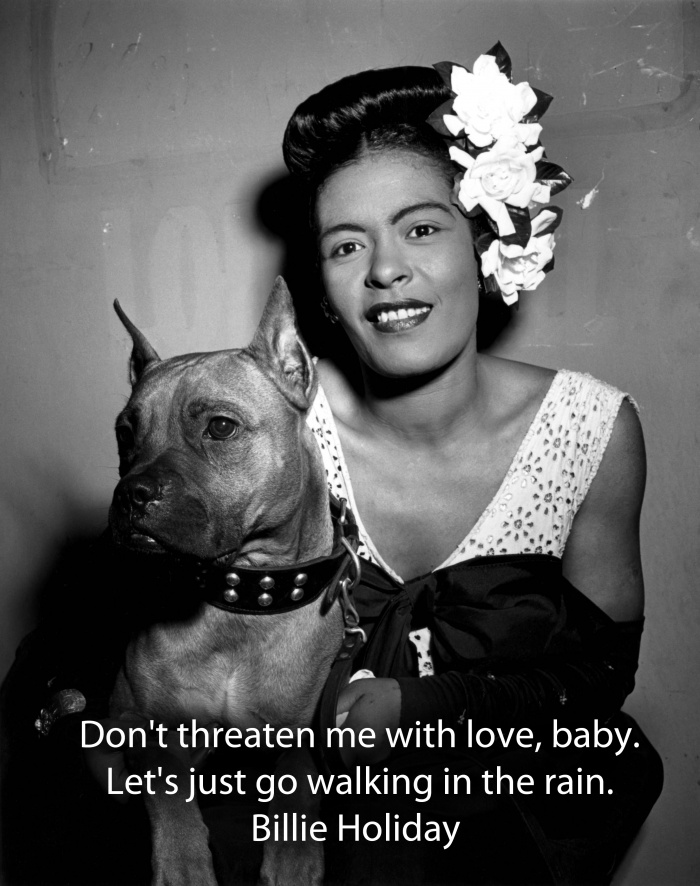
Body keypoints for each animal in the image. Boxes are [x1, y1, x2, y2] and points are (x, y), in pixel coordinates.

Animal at [107, 277, 354, 886]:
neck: (238, 601)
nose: (130, 495)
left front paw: (293, 854)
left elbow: (299, 774)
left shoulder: (308, 733)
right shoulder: (139, 723)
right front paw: (182, 860)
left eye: (220, 427)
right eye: (126, 433)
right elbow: (166, 781)